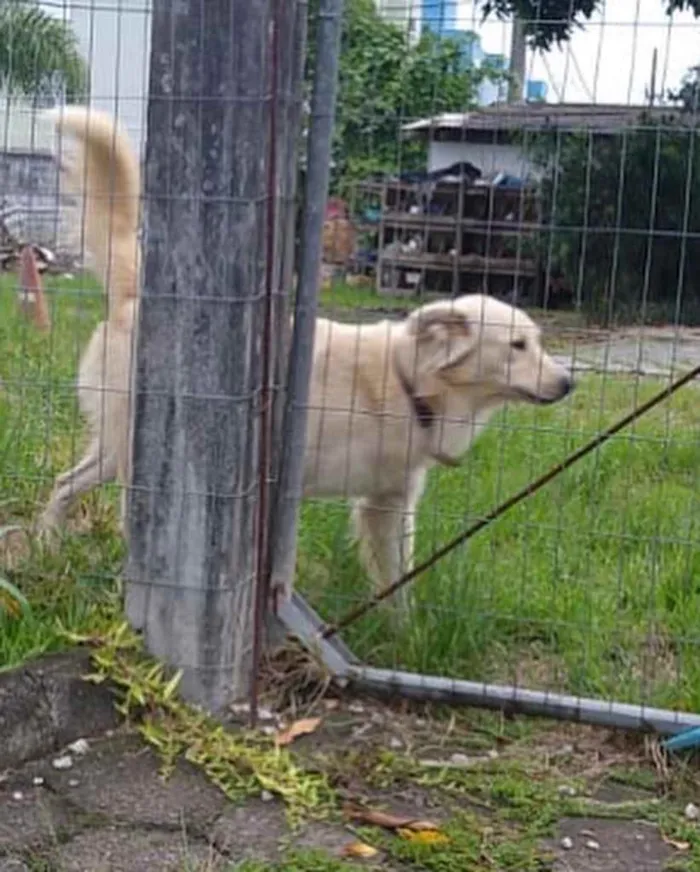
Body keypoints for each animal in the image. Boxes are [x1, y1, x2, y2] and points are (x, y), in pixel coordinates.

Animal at [39, 107, 576, 600]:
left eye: (539, 342)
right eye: (518, 346)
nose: (569, 383)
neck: (410, 383)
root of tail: (137, 296)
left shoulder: (387, 505)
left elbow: (397, 584)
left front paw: (402, 631)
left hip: (112, 452)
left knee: (65, 483)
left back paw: (47, 547)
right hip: (140, 456)